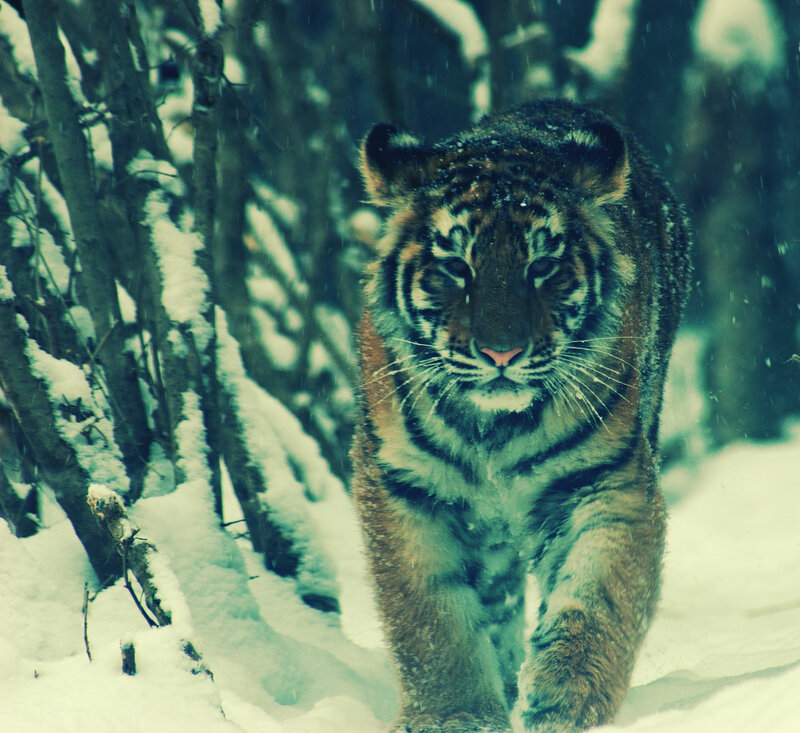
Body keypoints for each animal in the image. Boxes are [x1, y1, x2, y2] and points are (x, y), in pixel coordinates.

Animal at [350, 98, 692, 733]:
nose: (501, 354)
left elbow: (597, 597)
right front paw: (455, 716)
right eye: (456, 267)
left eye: (543, 266)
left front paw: (565, 701)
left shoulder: (604, 480)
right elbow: (431, 621)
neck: (494, 427)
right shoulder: (407, 487)